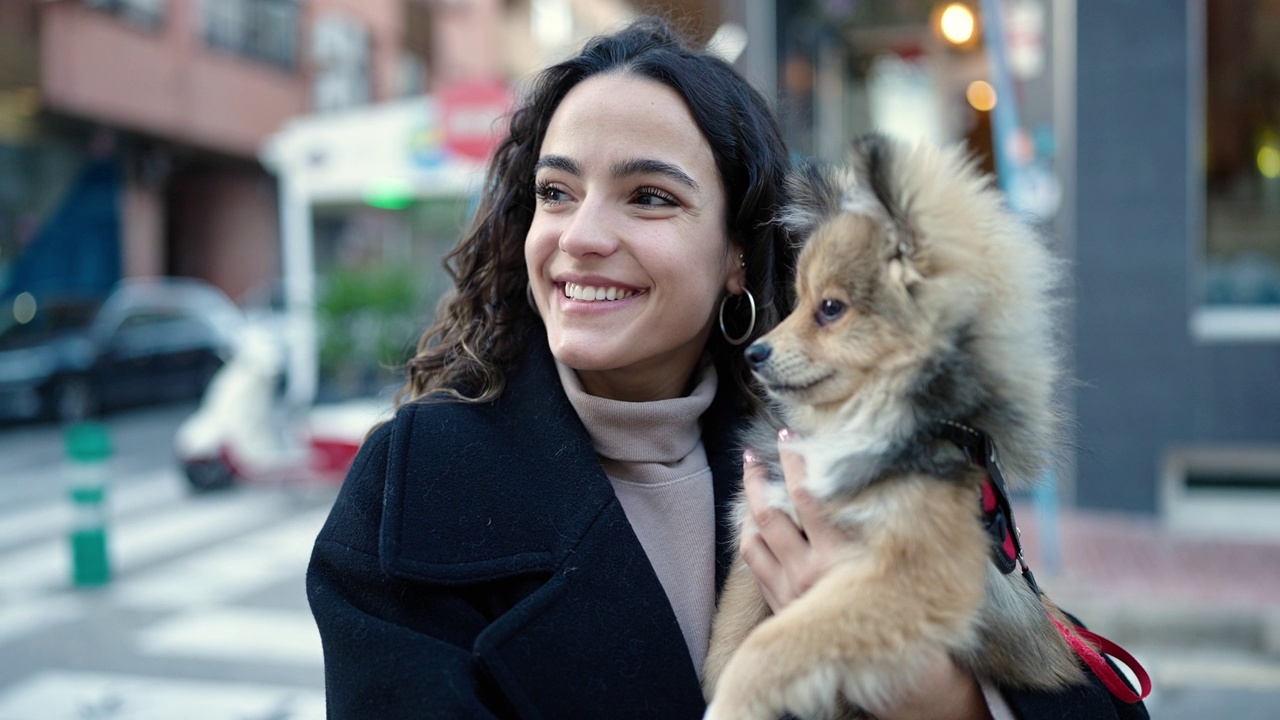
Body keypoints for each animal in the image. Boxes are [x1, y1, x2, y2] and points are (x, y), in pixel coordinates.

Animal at [706, 133, 1085, 712]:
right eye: (798, 303)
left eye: (830, 308)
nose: (755, 352)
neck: (859, 424)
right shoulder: (763, 528)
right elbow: (730, 639)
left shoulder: (914, 575)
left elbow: (774, 644)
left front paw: (733, 699)